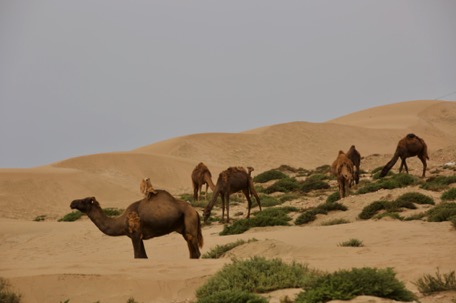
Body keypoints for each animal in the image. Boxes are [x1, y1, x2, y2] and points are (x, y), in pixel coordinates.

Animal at [70, 190, 203, 258]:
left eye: (84, 201)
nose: (72, 203)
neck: (120, 222)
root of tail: (195, 211)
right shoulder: (139, 237)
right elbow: (143, 256)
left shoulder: (135, 235)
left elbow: (137, 256)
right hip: (184, 228)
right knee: (192, 250)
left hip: (189, 221)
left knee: (195, 250)